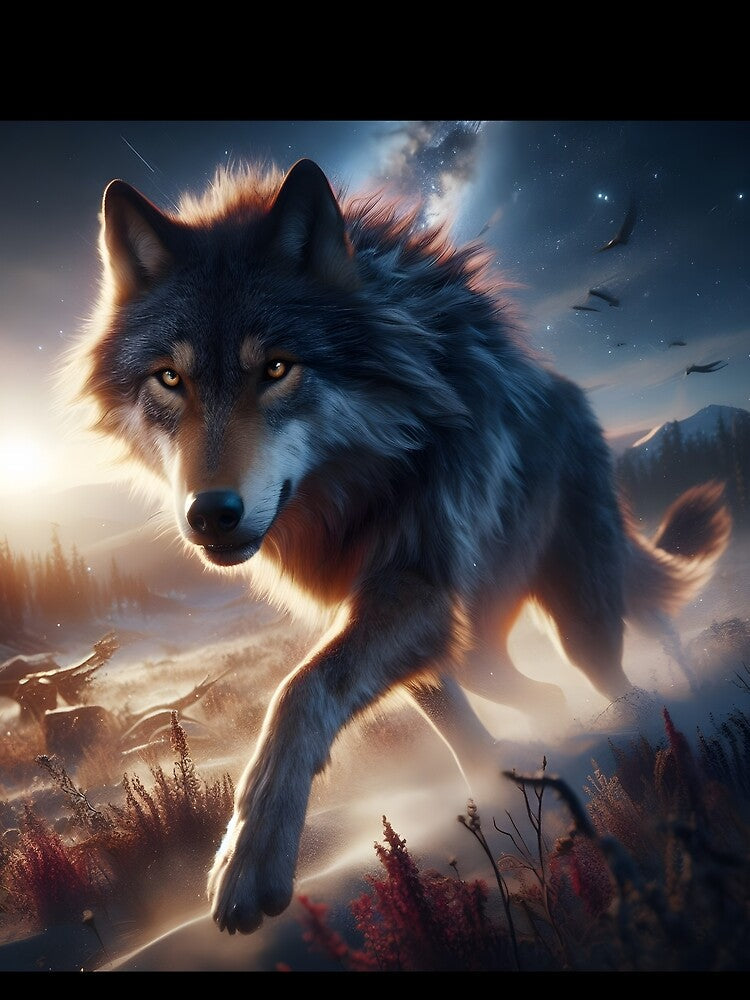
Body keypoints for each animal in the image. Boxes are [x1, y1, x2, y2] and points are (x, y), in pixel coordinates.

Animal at [65, 158, 731, 935]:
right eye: (171, 378)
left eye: (277, 368)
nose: (211, 515)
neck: (358, 484)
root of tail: (575, 398)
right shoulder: (385, 606)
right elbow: (437, 718)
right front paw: (491, 789)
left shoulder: (416, 585)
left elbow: (300, 691)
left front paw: (249, 858)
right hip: (479, 640)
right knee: (522, 684)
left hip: (577, 619)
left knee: (621, 665)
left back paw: (657, 710)